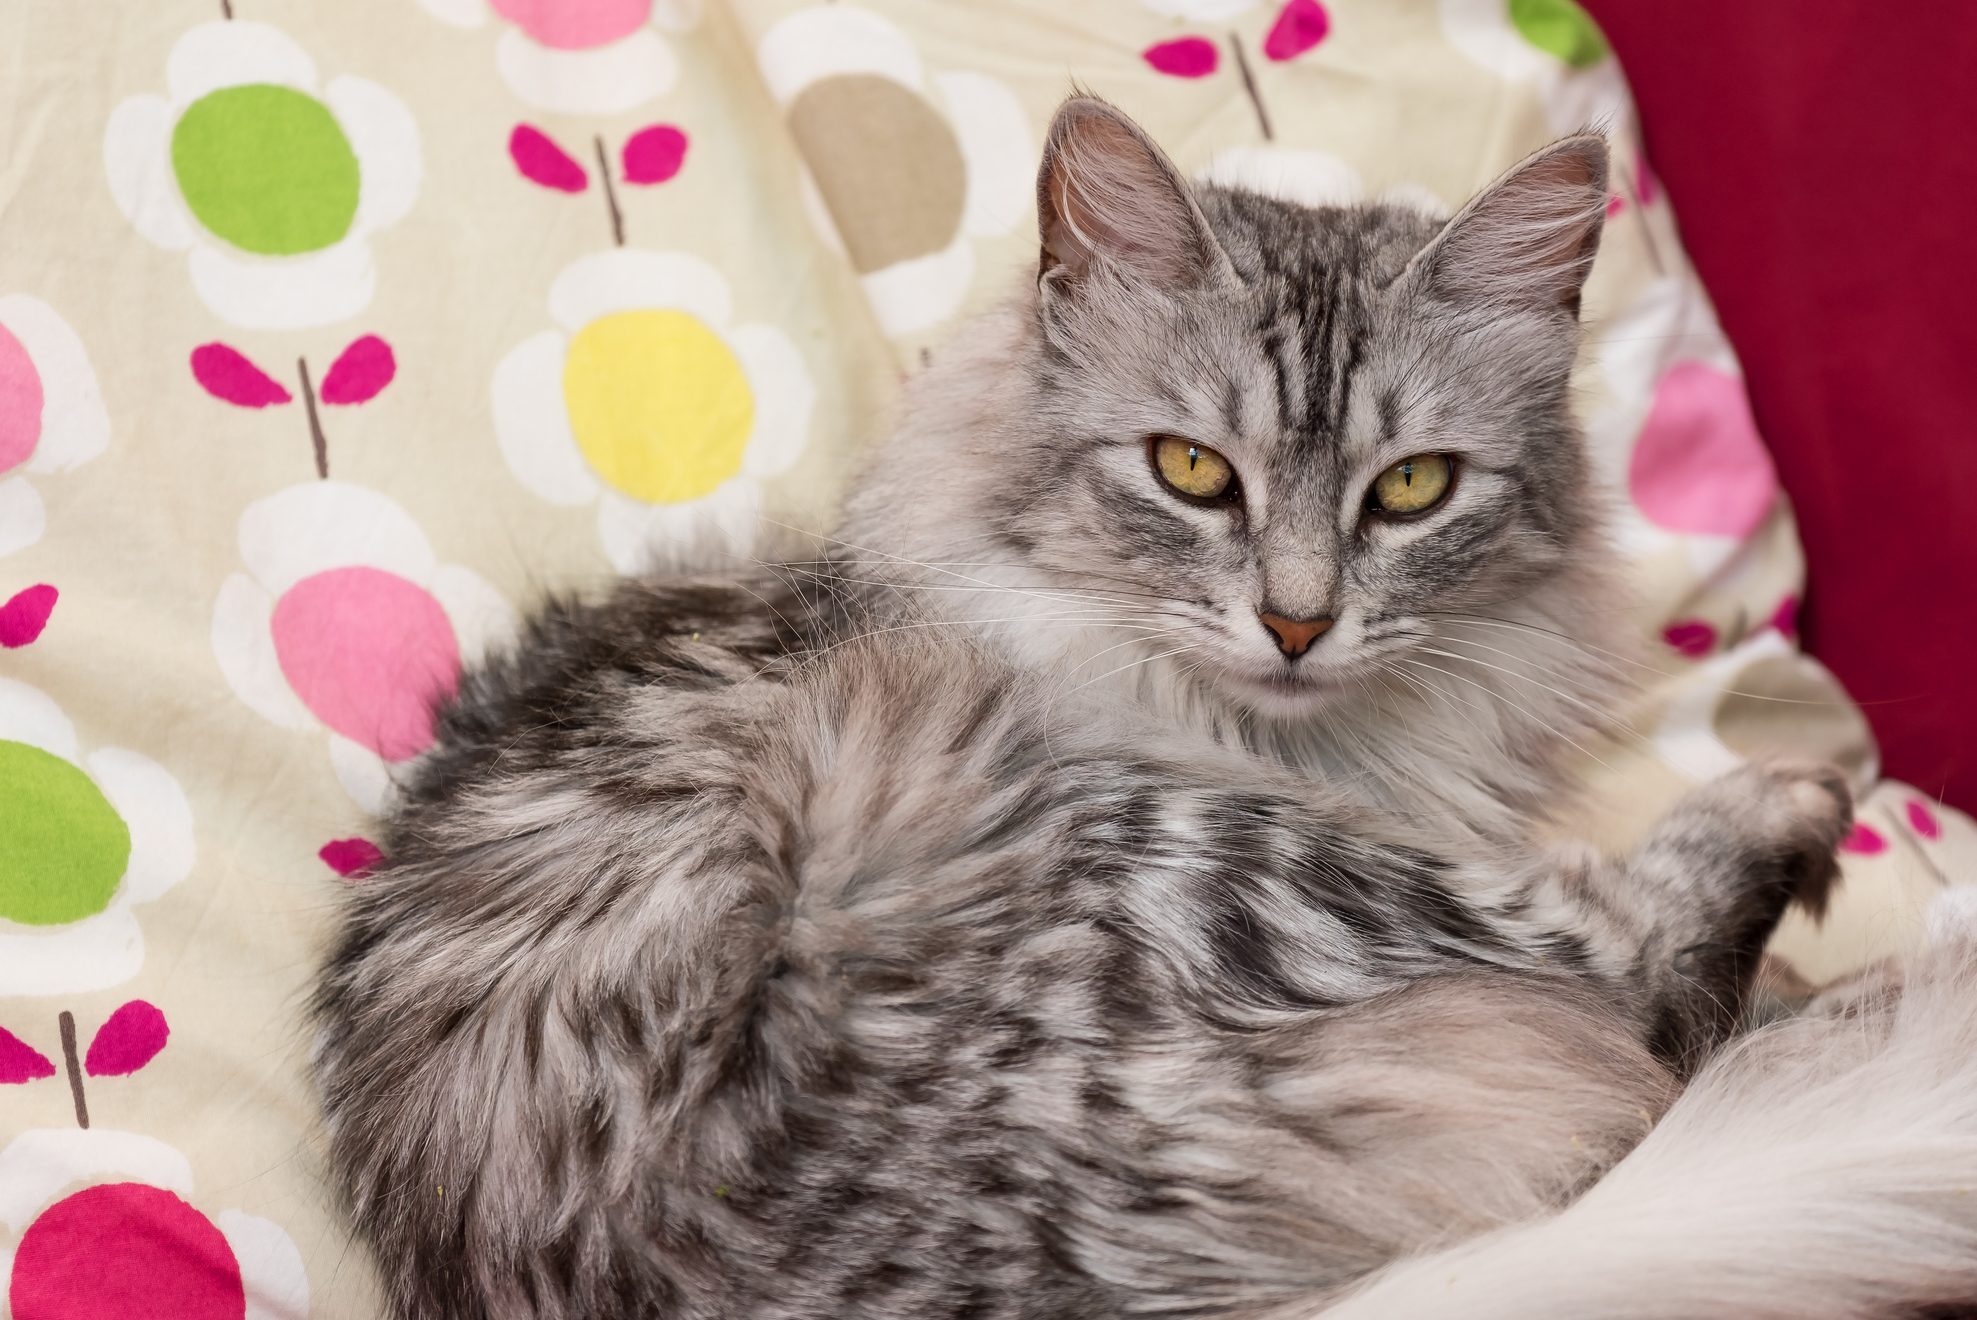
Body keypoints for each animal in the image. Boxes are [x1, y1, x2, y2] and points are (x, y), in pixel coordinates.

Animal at [312, 97, 1977, 1312]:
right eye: (1190, 472)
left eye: (1412, 489)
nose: (1298, 621)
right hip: (1203, 853)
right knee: (1649, 971)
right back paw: (1794, 841)